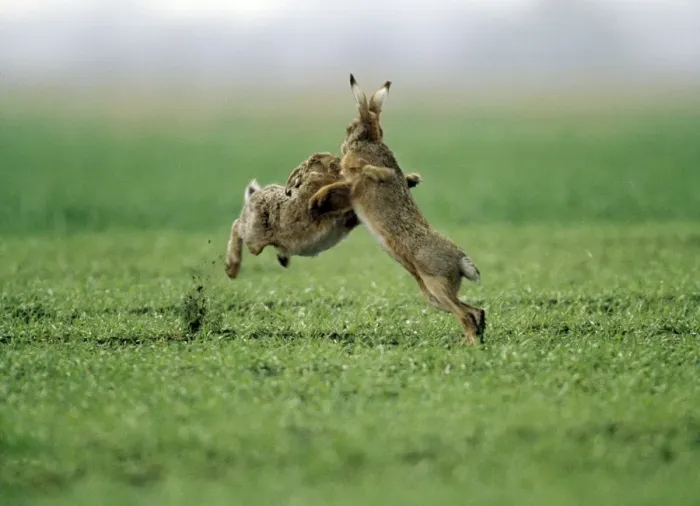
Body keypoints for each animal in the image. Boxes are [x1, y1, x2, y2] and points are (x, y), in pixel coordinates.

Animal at [225, 152, 422, 279]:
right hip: (255, 238)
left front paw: (412, 179)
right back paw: (231, 268)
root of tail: (253, 197)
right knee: (237, 227)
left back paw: (283, 259)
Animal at [303, 75, 485, 344]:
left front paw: (315, 200)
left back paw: (470, 345)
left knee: (465, 314)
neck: (368, 142)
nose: (342, 146)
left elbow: (347, 181)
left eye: (349, 127)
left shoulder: (356, 183)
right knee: (475, 310)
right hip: (433, 296)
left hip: (436, 284)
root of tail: (461, 259)